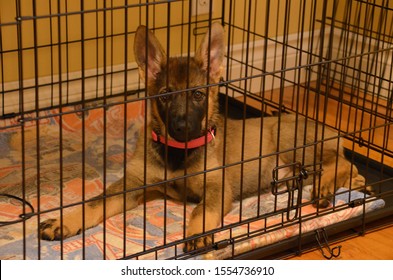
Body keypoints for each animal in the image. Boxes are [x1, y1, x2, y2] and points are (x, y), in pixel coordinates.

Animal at [39, 23, 364, 250]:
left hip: (289, 140)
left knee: (342, 160)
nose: (182, 127)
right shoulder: (133, 183)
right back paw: (351, 182)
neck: (178, 155)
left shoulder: (217, 188)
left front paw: (197, 233)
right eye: (165, 95)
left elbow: (200, 211)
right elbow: (95, 203)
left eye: (197, 95)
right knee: (344, 166)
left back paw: (326, 187)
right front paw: (64, 221)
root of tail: (330, 129)